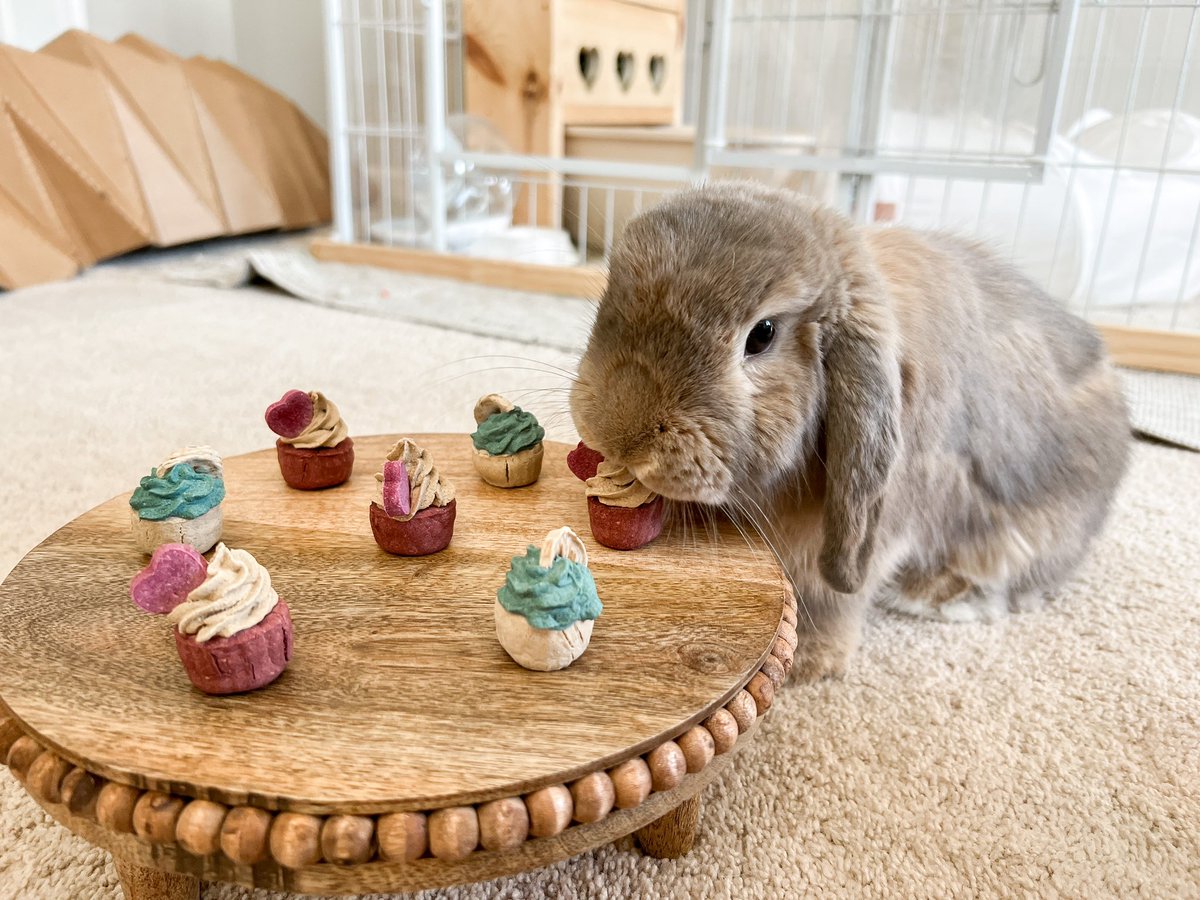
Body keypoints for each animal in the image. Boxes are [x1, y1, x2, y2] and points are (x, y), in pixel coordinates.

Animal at [570, 182, 1131, 681]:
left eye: (762, 335)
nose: (621, 434)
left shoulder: (872, 530)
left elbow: (838, 595)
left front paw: (811, 664)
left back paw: (940, 593)